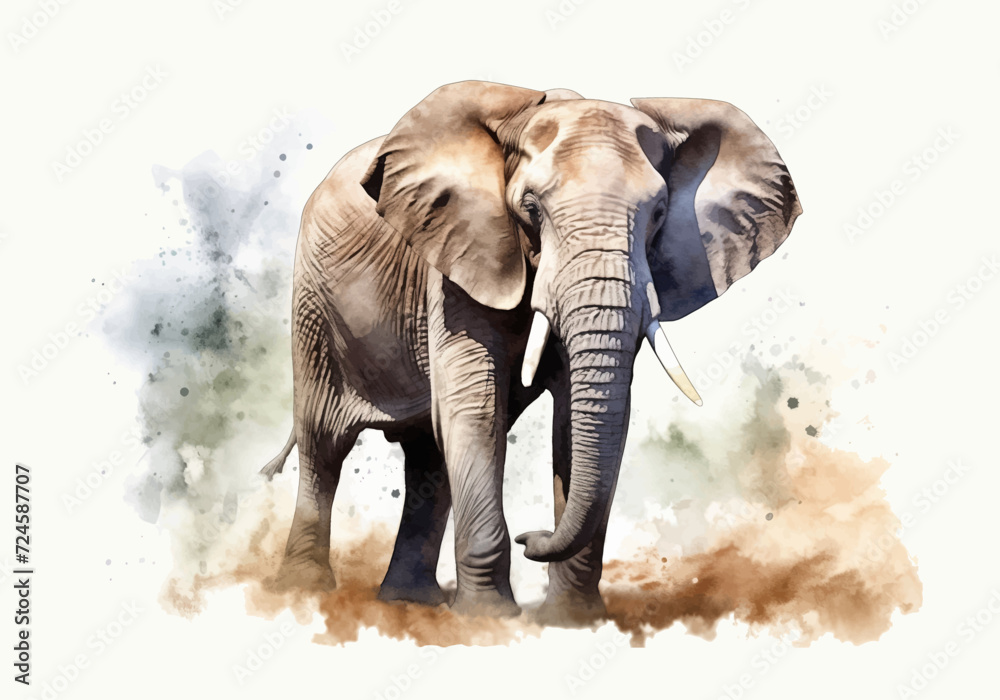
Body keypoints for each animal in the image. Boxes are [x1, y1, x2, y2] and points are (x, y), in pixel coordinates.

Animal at [259, 81, 801, 621]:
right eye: (531, 208)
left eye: (660, 214)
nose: (530, 537)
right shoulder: (459, 252)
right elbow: (476, 407)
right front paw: (488, 618)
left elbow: (579, 418)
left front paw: (572, 620)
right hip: (314, 305)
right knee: (325, 442)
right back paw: (305, 590)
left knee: (428, 458)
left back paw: (411, 601)